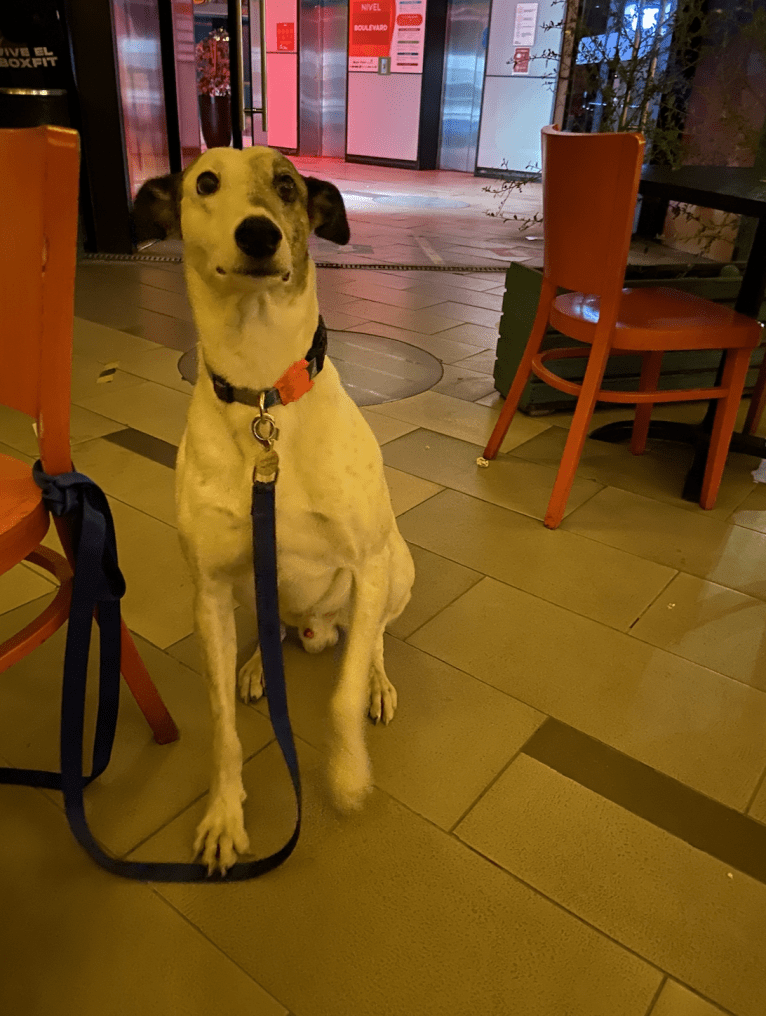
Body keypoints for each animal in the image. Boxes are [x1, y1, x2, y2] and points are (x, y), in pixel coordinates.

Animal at [134, 148, 414, 873]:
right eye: (205, 182)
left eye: (285, 185)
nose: (259, 234)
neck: (263, 394)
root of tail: (317, 628)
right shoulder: (207, 588)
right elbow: (223, 731)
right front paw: (225, 815)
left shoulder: (368, 562)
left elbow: (341, 696)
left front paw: (346, 774)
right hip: (245, 590)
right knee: (270, 629)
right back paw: (262, 662)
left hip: (397, 570)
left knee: (372, 638)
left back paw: (375, 679)